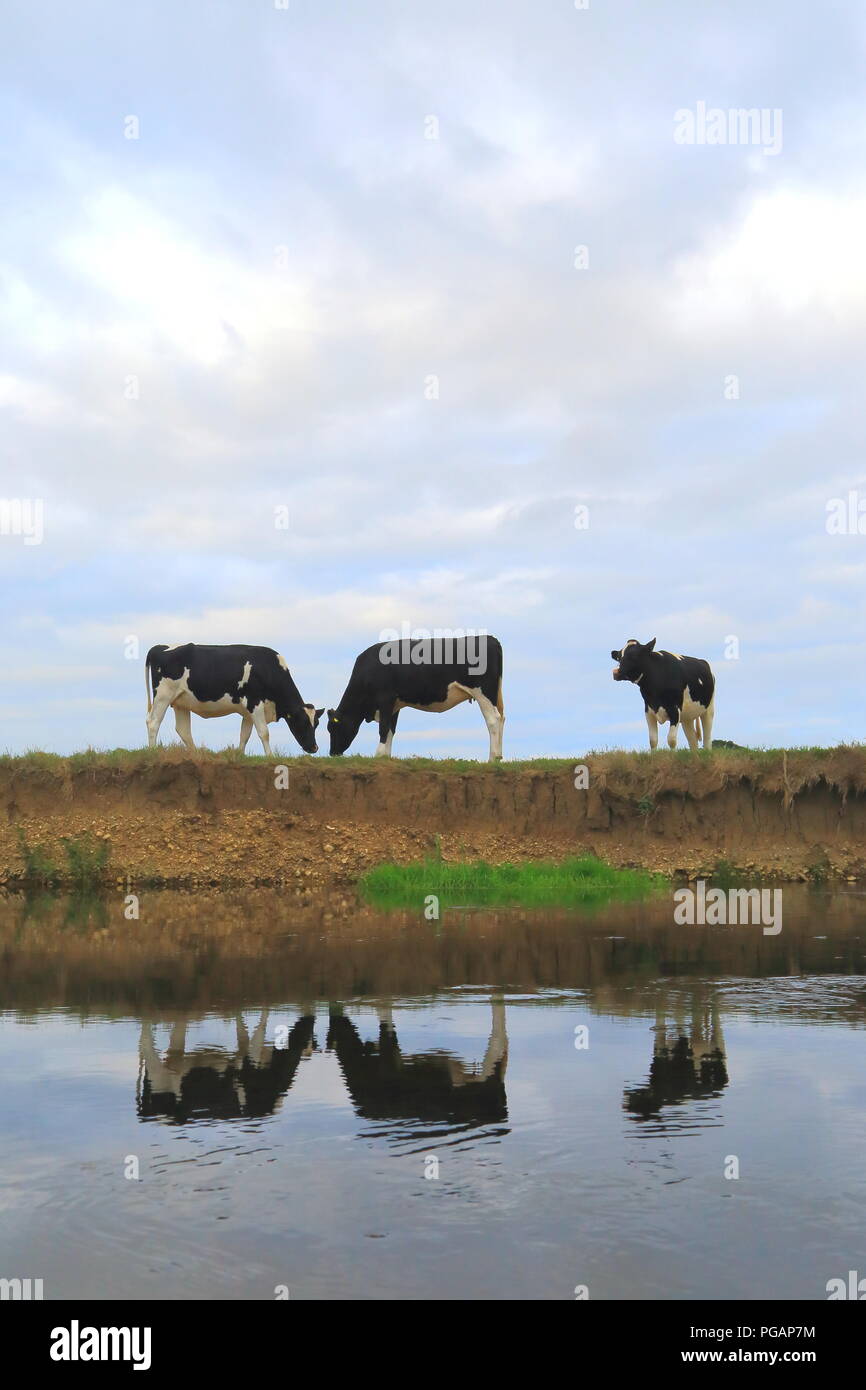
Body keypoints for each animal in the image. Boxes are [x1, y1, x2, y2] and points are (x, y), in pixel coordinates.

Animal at [143, 642, 323, 756]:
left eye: (316, 724)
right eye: (303, 722)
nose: (314, 748)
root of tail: (159, 647)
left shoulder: (248, 711)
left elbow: (245, 734)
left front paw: (240, 755)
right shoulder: (254, 702)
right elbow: (264, 733)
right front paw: (271, 757)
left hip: (181, 701)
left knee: (183, 730)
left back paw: (195, 754)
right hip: (163, 695)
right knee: (153, 722)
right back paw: (152, 752)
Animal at [326, 633, 505, 761]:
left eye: (332, 728)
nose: (332, 753)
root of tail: (489, 638)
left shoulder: (385, 698)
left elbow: (383, 727)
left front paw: (378, 754)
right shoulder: (395, 704)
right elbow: (391, 729)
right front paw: (386, 756)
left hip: (483, 692)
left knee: (493, 719)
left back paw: (492, 757)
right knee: (502, 718)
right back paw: (499, 757)